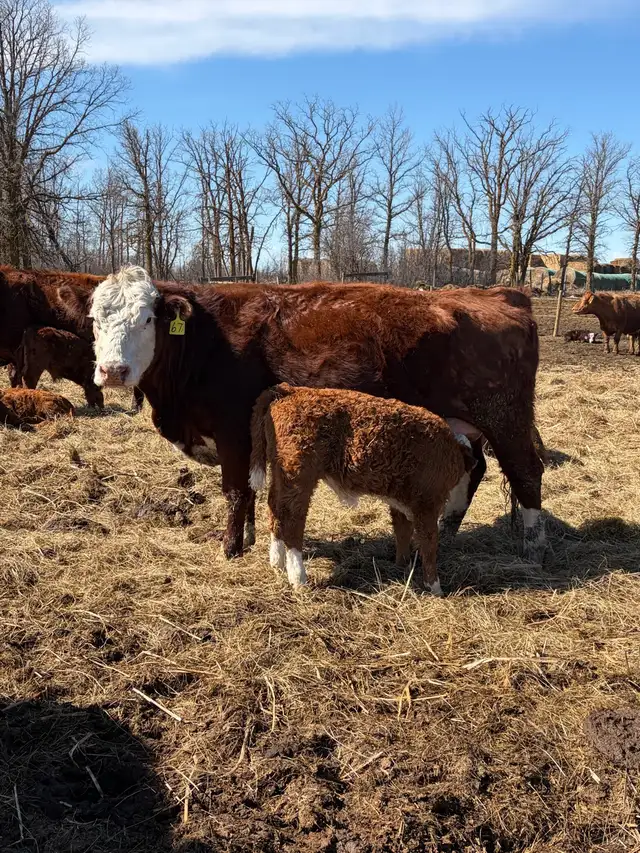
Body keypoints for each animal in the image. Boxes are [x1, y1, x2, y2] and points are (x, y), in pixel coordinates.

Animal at [58, 266, 545, 564]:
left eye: (147, 319)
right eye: (95, 319)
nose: (113, 370)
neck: (204, 342)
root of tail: (498, 294)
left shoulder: (233, 430)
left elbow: (236, 491)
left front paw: (230, 548)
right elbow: (252, 493)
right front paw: (252, 538)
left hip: (505, 417)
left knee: (526, 472)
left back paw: (532, 545)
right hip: (465, 425)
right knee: (474, 468)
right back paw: (449, 527)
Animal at [249, 384, 476, 593]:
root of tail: (289, 390)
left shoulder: (402, 501)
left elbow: (402, 532)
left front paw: (402, 566)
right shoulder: (428, 503)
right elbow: (429, 543)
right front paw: (435, 587)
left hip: (280, 473)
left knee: (274, 508)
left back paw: (277, 562)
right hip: (299, 476)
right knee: (292, 521)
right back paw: (298, 578)